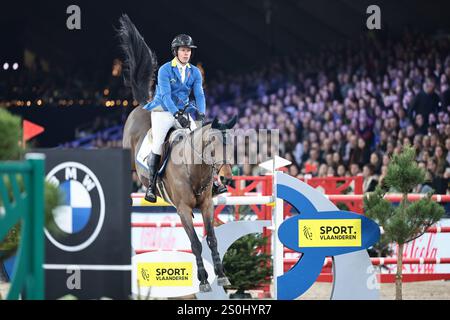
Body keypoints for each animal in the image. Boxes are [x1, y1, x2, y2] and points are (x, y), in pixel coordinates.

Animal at [118, 15, 234, 292]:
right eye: (213, 147)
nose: (226, 178)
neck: (194, 170)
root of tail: (145, 104)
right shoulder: (182, 209)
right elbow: (195, 243)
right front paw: (203, 280)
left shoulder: (206, 205)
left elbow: (212, 240)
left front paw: (221, 276)